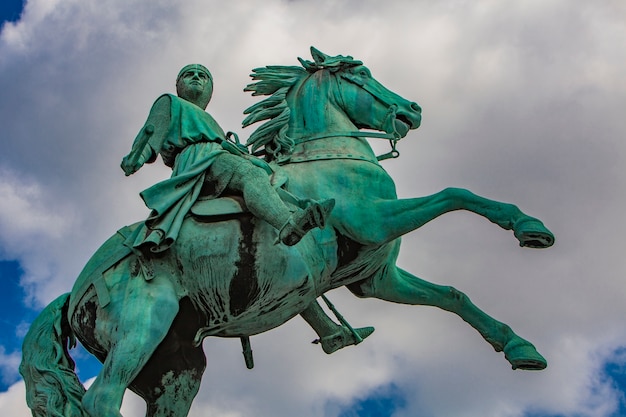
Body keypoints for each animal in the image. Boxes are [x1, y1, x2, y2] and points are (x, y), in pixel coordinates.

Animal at [19, 47, 552, 416]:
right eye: (361, 74)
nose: (412, 110)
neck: (330, 157)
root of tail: (73, 292)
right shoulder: (374, 219)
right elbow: (456, 193)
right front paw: (529, 226)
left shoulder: (375, 278)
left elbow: (452, 295)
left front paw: (519, 347)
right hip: (141, 328)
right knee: (101, 400)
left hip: (175, 367)